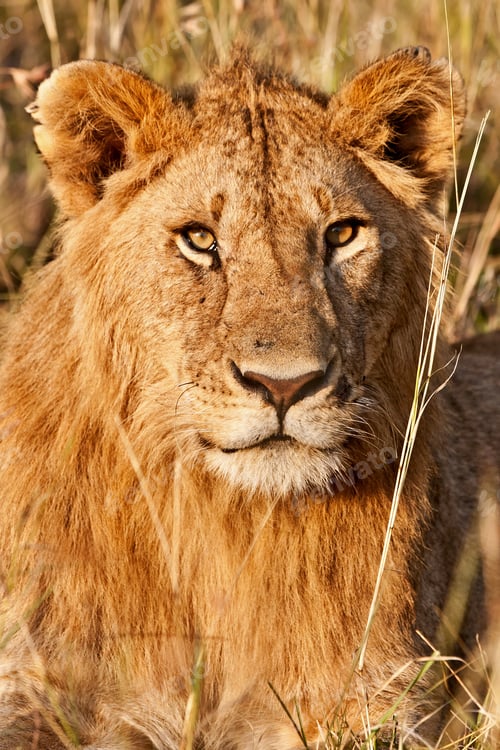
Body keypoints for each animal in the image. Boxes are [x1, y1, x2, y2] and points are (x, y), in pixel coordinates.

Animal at [0, 45, 498, 749]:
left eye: (342, 234)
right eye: (200, 239)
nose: (284, 385)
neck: (222, 525)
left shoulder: (375, 699)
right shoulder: (36, 684)